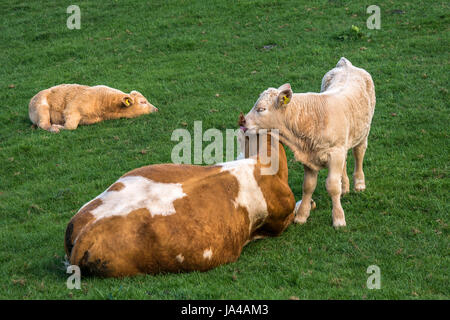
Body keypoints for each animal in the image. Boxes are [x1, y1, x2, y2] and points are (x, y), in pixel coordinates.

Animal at [28, 84, 158, 133]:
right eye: (143, 102)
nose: (156, 109)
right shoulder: (71, 109)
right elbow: (70, 126)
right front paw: (58, 126)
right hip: (41, 108)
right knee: (43, 124)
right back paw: (53, 129)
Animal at [241, 57, 374, 228]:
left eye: (261, 109)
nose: (243, 122)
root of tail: (346, 64)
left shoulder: (335, 153)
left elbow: (332, 186)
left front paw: (338, 218)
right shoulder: (310, 157)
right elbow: (308, 186)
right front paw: (302, 215)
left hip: (363, 132)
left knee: (359, 153)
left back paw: (359, 183)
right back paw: (345, 186)